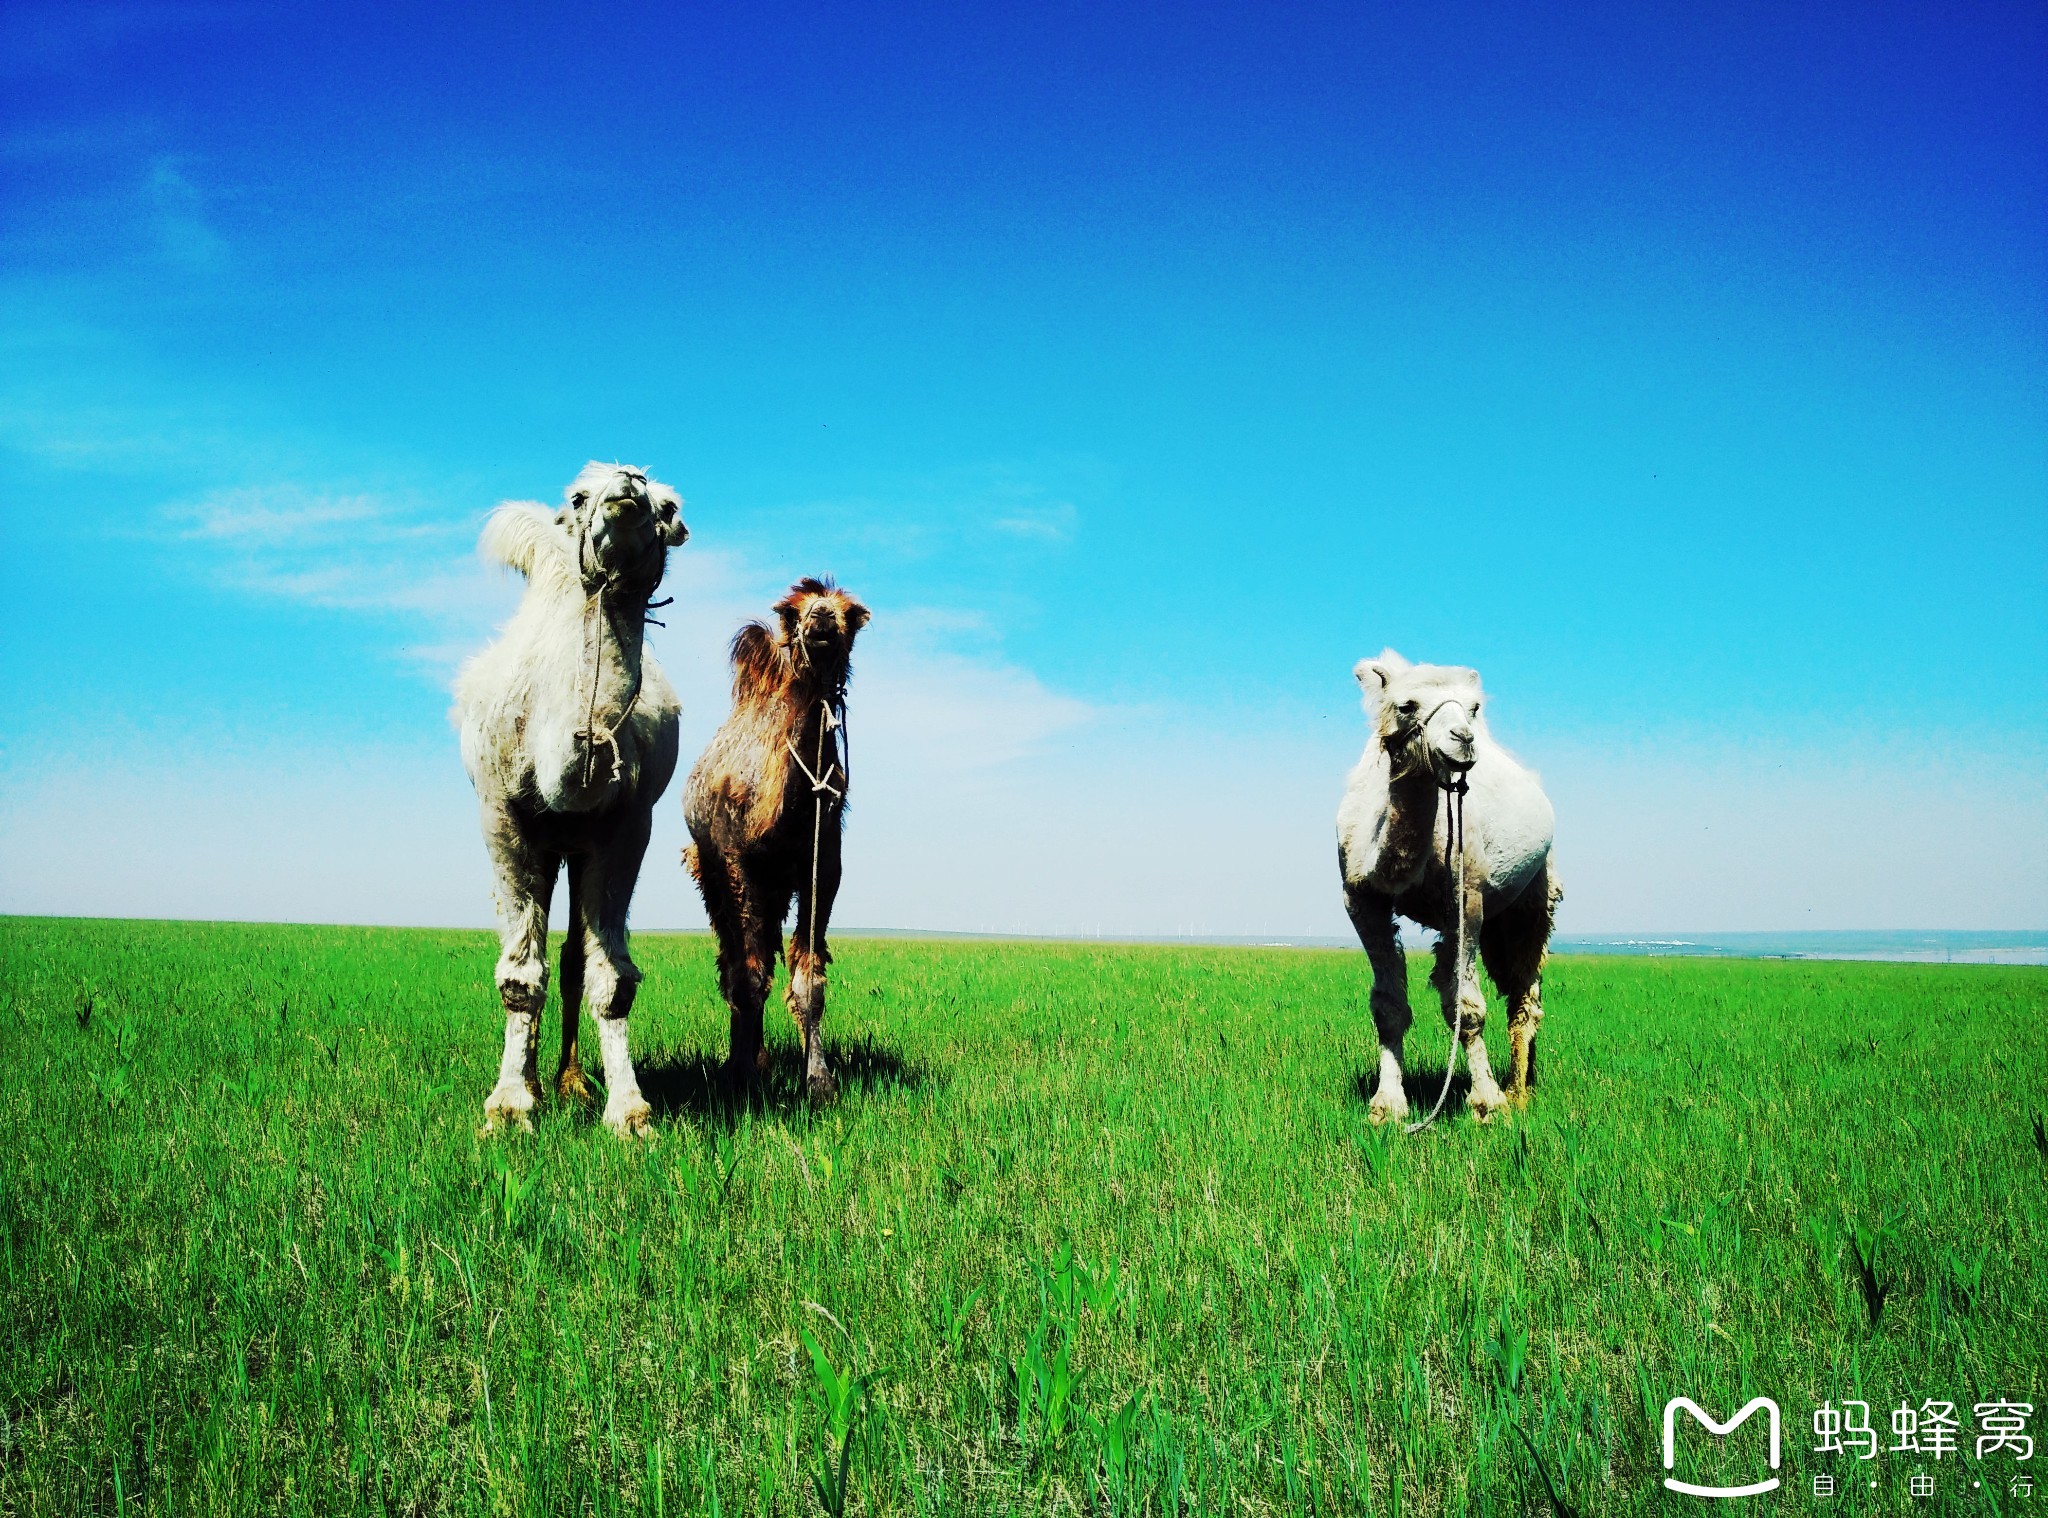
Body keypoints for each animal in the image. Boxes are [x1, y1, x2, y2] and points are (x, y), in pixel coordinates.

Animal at [456, 460, 688, 1139]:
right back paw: (538, 1083)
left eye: (668, 508)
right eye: (580, 496)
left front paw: (629, 1112)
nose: (628, 487)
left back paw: (573, 1083)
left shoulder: (626, 827)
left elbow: (611, 978)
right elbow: (518, 976)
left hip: (575, 847)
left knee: (574, 959)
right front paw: (509, 1108)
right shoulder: (502, 819)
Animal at [675, 569, 860, 1089]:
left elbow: (809, 982)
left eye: (851, 612)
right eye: (793, 612)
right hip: (710, 873)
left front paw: (819, 1080)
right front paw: (744, 1073)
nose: (822, 618)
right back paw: (744, 1058)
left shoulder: (823, 869)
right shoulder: (739, 865)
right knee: (732, 964)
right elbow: (748, 976)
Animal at [1335, 651, 1556, 1122]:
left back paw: (1518, 1092)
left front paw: (1487, 1101)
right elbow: (1388, 1006)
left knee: (1525, 993)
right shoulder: (1360, 898)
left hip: (1536, 892)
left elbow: (1465, 1008)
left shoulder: (1467, 897)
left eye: (1473, 707)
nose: (1464, 739)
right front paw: (1388, 1105)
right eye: (1406, 706)